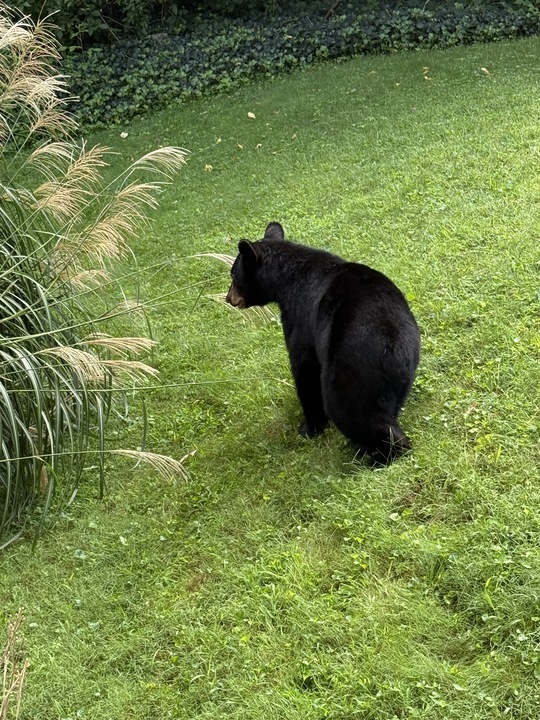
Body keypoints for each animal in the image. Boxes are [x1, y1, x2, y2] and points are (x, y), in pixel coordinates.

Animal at [226, 222, 420, 464]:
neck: (287, 280)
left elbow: (304, 370)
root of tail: (390, 338)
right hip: (405, 368)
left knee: (351, 411)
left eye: (233, 275)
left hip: (348, 366)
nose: (228, 298)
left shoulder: (301, 319)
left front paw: (308, 429)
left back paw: (378, 455)